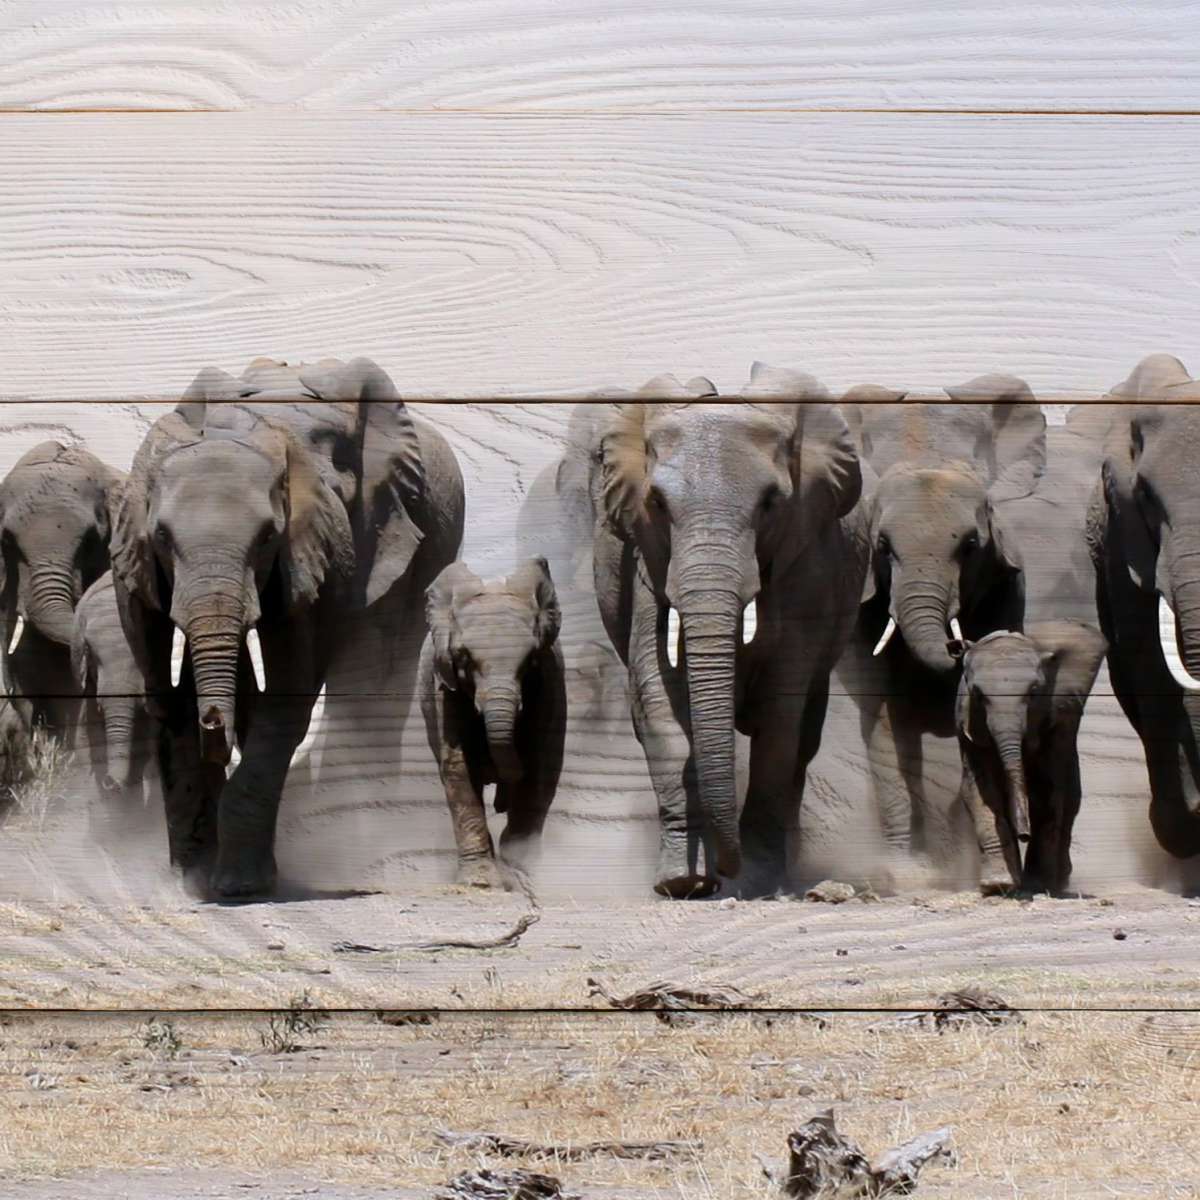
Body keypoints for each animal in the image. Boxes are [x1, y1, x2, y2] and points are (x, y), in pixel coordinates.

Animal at [111, 356, 464, 897]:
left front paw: (238, 885)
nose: (214, 724)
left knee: (373, 677)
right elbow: (165, 687)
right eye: (163, 538)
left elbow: (289, 696)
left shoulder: (326, 545)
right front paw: (195, 875)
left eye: (267, 538)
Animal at [419, 557, 566, 887]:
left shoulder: (548, 682)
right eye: (463, 657)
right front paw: (481, 882)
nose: (501, 804)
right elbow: (457, 766)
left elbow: (536, 764)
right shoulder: (443, 682)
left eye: (531, 659)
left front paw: (520, 867)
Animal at [580, 365, 867, 898]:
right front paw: (682, 883)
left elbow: (780, 713)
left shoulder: (808, 562)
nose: (723, 874)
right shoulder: (648, 562)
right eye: (657, 503)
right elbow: (659, 697)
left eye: (771, 503)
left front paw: (755, 879)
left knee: (804, 732)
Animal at [847, 377, 1047, 861]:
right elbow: (885, 718)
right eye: (883, 546)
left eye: (971, 545)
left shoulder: (1009, 582)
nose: (959, 647)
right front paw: (904, 866)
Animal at [952, 621, 1106, 895]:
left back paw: (1057, 882)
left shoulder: (1058, 720)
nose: (1024, 835)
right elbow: (981, 791)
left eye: (1033, 693)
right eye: (979, 695)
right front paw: (998, 885)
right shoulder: (967, 724)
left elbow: (1047, 790)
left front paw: (1037, 884)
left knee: (1069, 800)